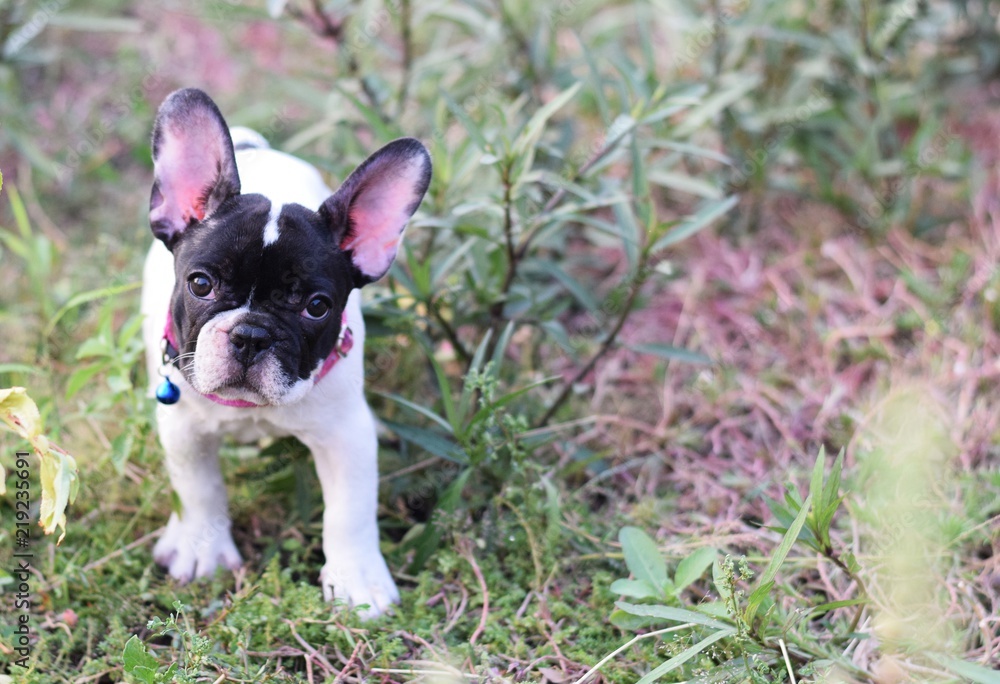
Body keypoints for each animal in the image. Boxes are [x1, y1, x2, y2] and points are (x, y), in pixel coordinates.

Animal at [141, 88, 430, 616]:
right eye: (201, 284)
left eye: (316, 306)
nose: (252, 335)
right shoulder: (184, 430)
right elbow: (199, 490)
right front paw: (203, 549)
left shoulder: (346, 438)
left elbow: (350, 512)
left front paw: (356, 580)